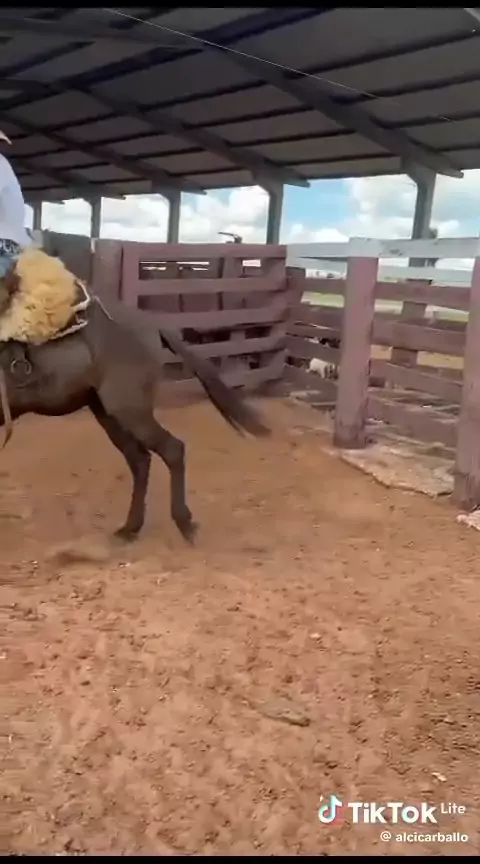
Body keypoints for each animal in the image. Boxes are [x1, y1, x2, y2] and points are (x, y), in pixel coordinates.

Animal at [0, 250, 270, 543]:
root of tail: (154, 327)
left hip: (130, 410)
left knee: (171, 450)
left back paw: (183, 523)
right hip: (108, 413)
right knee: (140, 460)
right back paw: (131, 527)